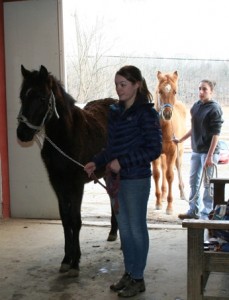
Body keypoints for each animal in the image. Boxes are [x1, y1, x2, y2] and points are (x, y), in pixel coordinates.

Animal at [16, 65, 118, 276]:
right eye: (22, 96)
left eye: (42, 98)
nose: (22, 133)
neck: (65, 136)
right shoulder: (57, 183)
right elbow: (65, 220)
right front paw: (66, 259)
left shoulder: (76, 184)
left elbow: (75, 220)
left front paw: (75, 262)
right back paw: (113, 232)